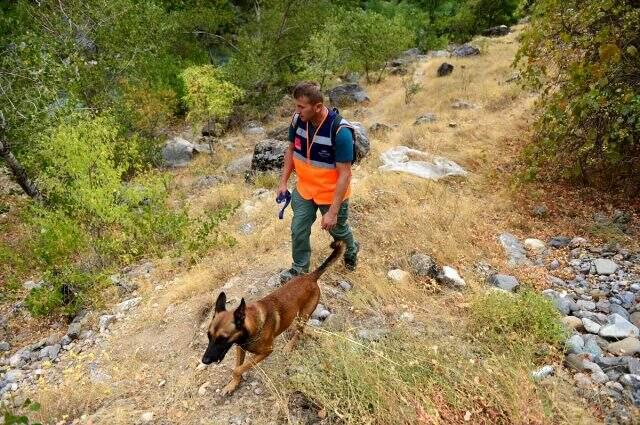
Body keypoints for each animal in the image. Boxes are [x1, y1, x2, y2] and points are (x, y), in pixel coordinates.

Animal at [204, 240, 344, 392]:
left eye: (223, 338)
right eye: (208, 336)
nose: (204, 360)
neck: (252, 326)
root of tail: (310, 277)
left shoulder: (266, 351)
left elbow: (238, 369)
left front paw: (234, 380)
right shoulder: (240, 348)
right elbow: (238, 366)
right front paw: (232, 384)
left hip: (303, 316)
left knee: (299, 332)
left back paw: (289, 346)